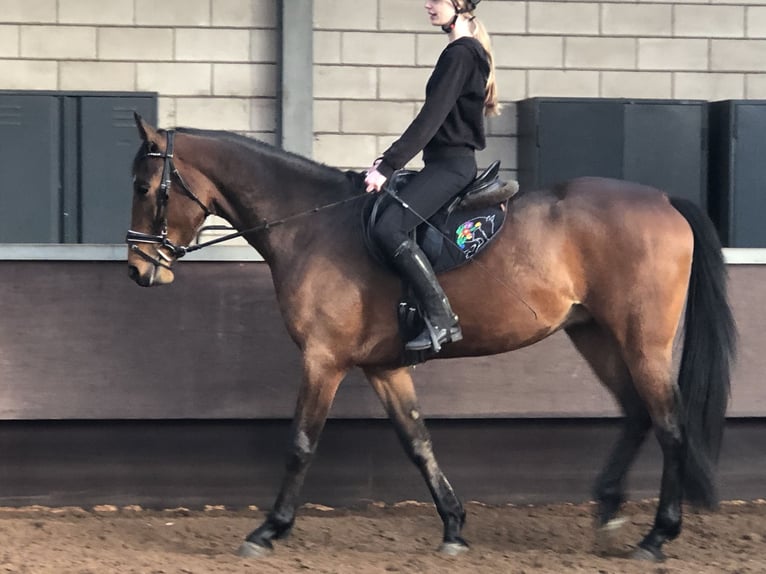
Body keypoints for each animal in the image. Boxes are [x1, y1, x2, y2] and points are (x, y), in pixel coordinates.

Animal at [126, 116, 736, 564]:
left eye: (144, 187)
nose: (137, 270)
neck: (312, 225)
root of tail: (664, 199)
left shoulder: (324, 360)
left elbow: (301, 443)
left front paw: (268, 530)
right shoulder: (384, 367)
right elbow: (417, 442)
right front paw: (454, 527)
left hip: (643, 342)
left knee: (670, 424)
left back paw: (656, 537)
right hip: (597, 336)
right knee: (636, 413)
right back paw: (609, 514)